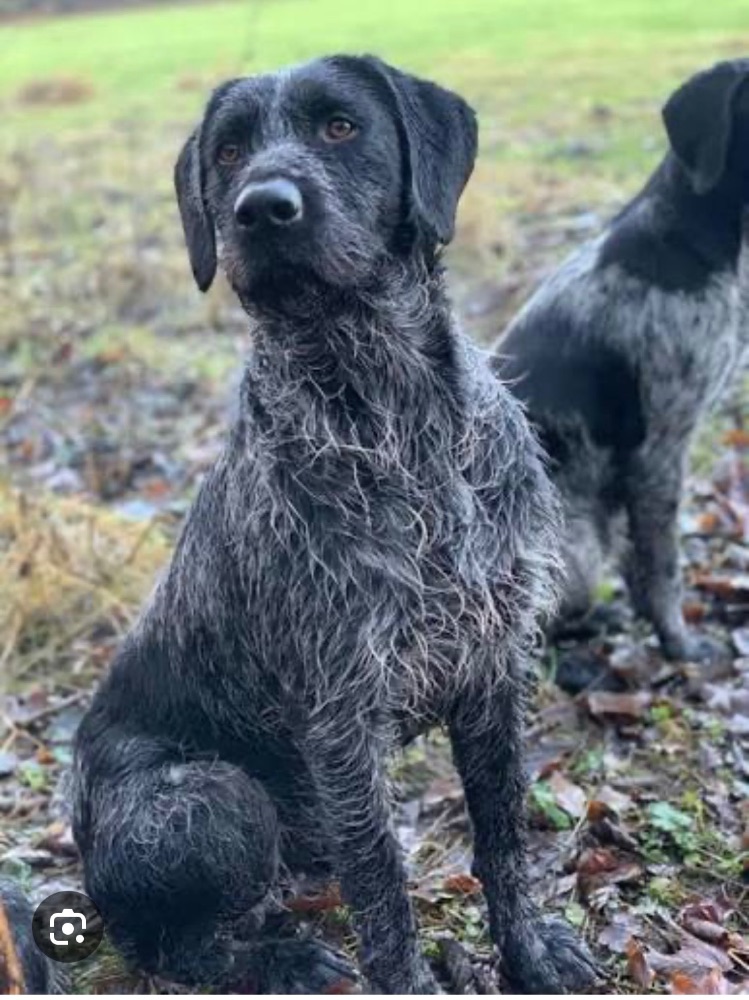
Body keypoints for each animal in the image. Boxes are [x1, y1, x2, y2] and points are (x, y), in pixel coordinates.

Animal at [72, 55, 597, 993]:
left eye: (341, 126)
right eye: (229, 150)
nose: (262, 207)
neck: (392, 415)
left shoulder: (491, 670)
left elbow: (501, 836)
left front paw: (528, 952)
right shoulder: (342, 713)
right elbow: (383, 887)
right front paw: (412, 979)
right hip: (215, 799)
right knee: (170, 948)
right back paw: (281, 957)